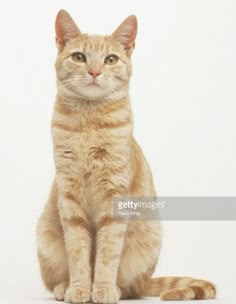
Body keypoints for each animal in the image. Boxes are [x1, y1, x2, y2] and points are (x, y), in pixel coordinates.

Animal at [36, 10, 216, 304]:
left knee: (132, 288)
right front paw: (79, 288)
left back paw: (118, 289)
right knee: (56, 280)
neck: (89, 124)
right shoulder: (69, 197)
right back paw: (64, 287)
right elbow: (78, 252)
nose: (94, 71)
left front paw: (103, 289)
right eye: (79, 57)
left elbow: (107, 254)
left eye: (110, 59)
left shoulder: (115, 197)